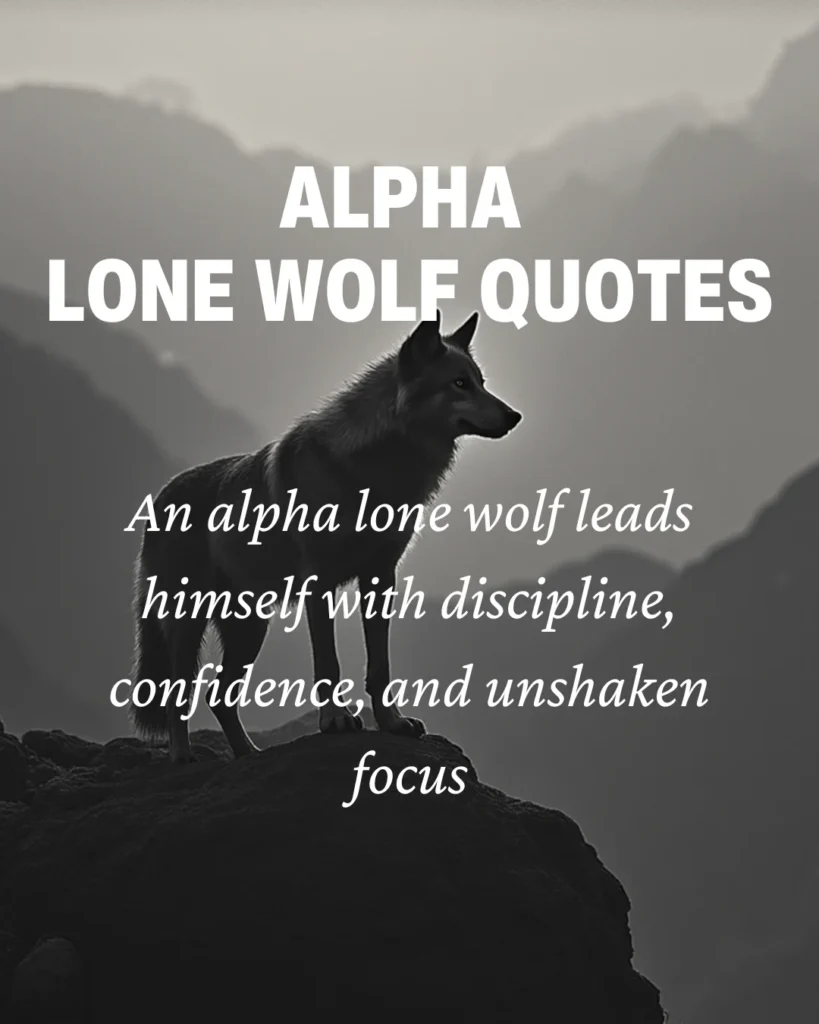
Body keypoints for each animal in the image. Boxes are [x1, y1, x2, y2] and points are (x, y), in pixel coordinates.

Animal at [130, 310, 522, 762]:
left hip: (250, 627)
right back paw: (183, 757)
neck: (377, 470)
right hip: (190, 621)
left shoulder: (380, 578)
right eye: (459, 384)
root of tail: (160, 496)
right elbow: (328, 663)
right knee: (178, 694)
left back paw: (250, 754)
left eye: (480, 381)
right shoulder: (320, 583)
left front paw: (392, 723)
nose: (514, 416)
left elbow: (380, 666)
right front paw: (336, 720)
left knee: (219, 695)